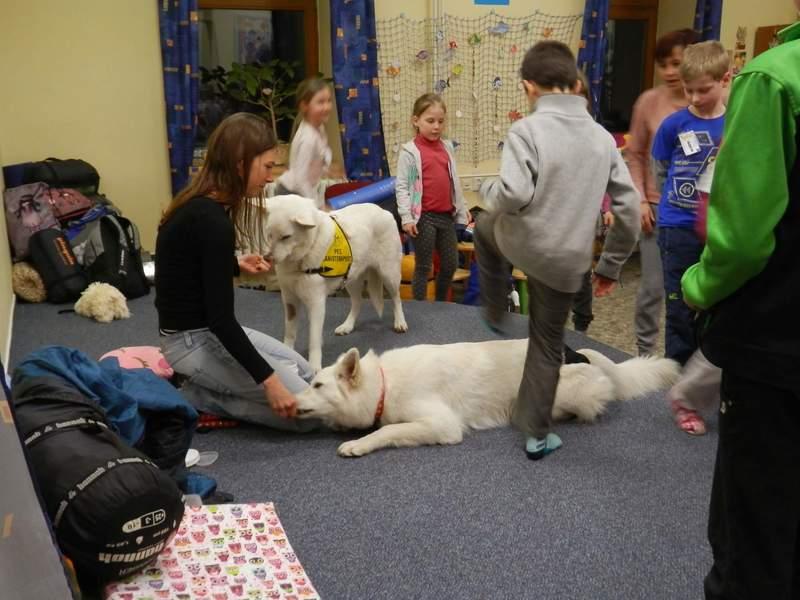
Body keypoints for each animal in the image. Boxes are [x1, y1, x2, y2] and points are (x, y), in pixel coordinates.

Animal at [262, 195, 410, 370]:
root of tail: (383, 210)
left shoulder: (316, 303)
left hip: (389, 274)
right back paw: (347, 325)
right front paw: (286, 353)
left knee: (396, 298)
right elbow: (290, 333)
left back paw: (400, 322)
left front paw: (314, 367)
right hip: (351, 279)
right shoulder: (289, 300)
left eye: (286, 237)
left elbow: (313, 340)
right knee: (357, 302)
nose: (267, 258)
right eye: (269, 235)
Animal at [296, 340, 680, 458]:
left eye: (317, 385)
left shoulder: (442, 425)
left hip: (563, 393)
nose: (291, 402)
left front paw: (359, 444)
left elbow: (386, 431)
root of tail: (582, 352)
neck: (384, 383)